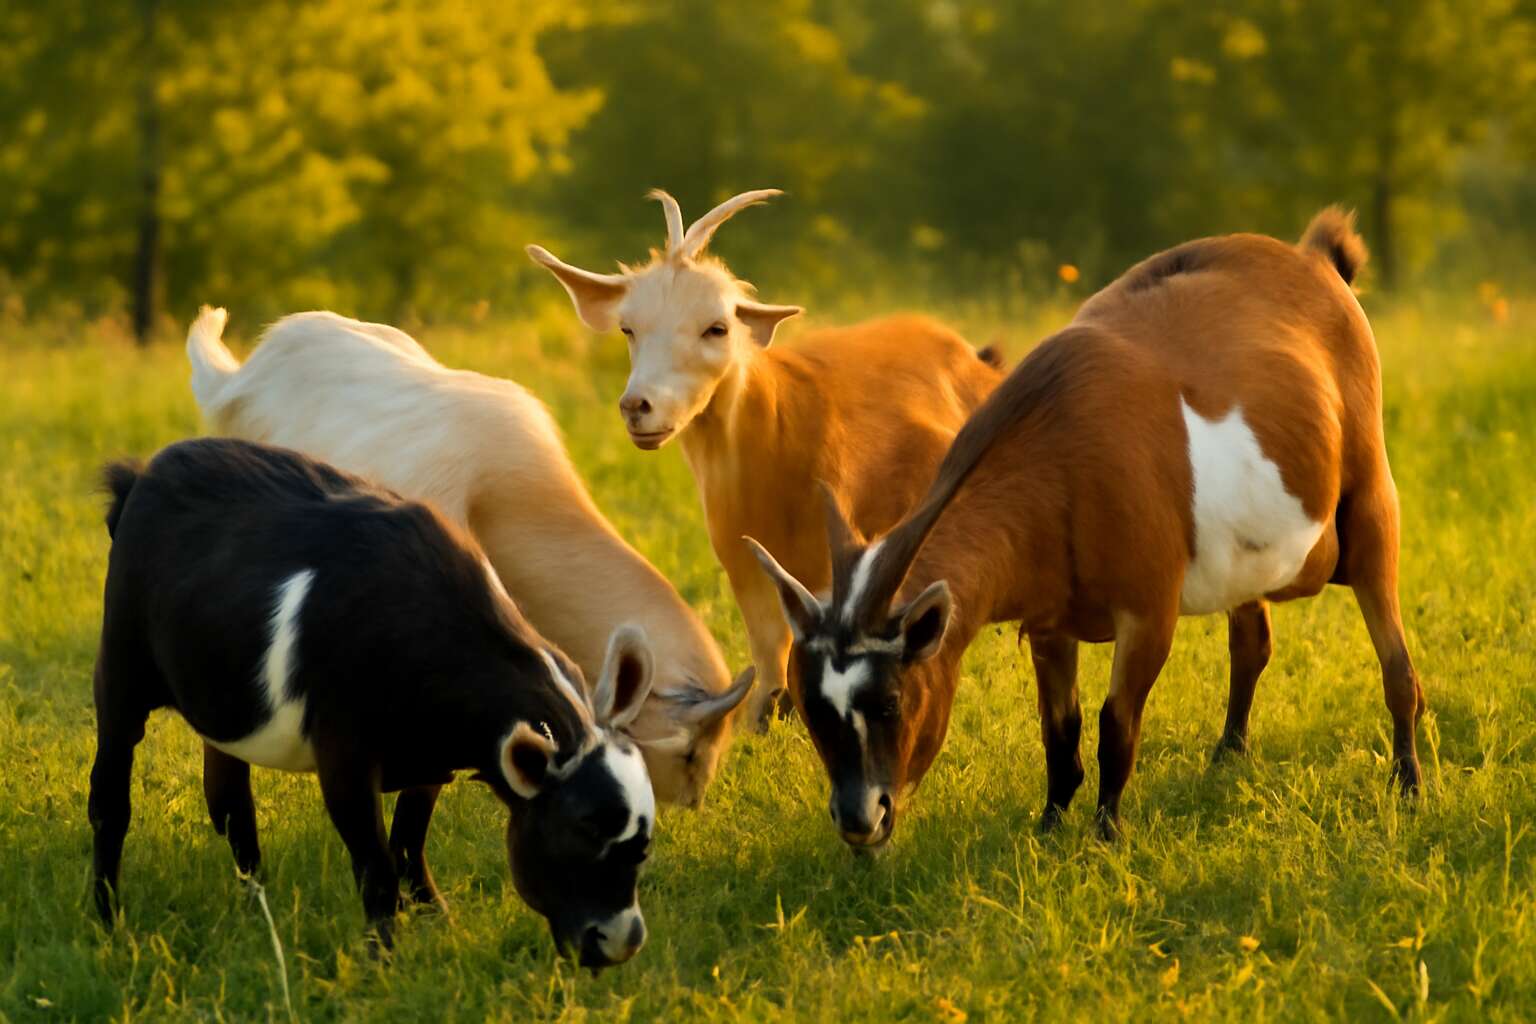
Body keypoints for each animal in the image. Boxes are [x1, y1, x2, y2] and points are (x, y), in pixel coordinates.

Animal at [91, 438, 657, 966]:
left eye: (644, 845)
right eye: (583, 829)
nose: (620, 942)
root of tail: (143, 472)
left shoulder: (432, 761)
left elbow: (408, 840)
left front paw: (436, 916)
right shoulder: (345, 758)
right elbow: (376, 862)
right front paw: (381, 957)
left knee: (230, 803)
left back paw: (258, 911)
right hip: (119, 674)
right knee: (110, 802)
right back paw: (107, 919)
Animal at [747, 209, 1425, 847]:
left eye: (889, 701)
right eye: (809, 708)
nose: (861, 820)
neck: (1061, 455)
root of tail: (1316, 260)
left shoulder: (1148, 615)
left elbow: (1115, 725)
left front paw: (1106, 835)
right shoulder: (1049, 621)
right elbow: (1060, 730)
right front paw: (1049, 825)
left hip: (1371, 506)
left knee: (1397, 664)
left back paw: (1409, 785)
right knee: (1252, 640)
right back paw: (1228, 757)